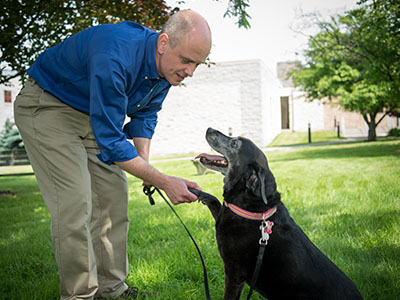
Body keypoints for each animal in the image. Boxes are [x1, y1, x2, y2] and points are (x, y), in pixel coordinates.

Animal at [192, 128, 364, 300]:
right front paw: (196, 192)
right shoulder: (224, 215)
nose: (209, 129)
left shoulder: (234, 273)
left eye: (235, 143)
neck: (253, 205)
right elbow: (215, 201)